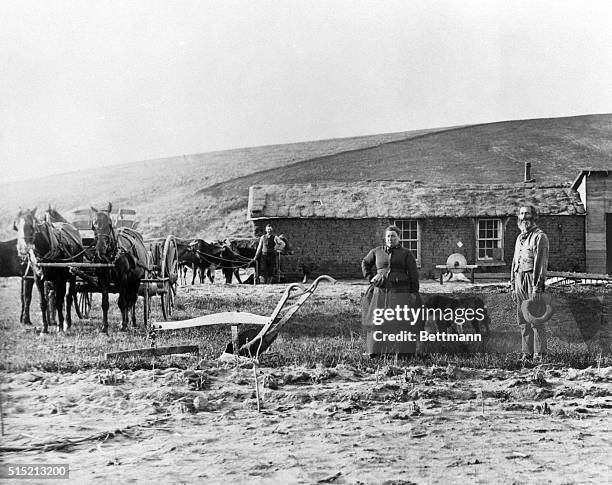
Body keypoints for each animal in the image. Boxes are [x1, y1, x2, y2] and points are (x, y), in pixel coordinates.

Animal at [91, 203, 148, 332]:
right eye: (94, 225)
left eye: (110, 224)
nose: (100, 249)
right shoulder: (103, 279)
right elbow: (105, 303)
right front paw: (105, 326)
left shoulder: (122, 278)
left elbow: (122, 302)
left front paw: (123, 325)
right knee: (128, 299)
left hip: (136, 280)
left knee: (132, 299)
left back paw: (132, 322)